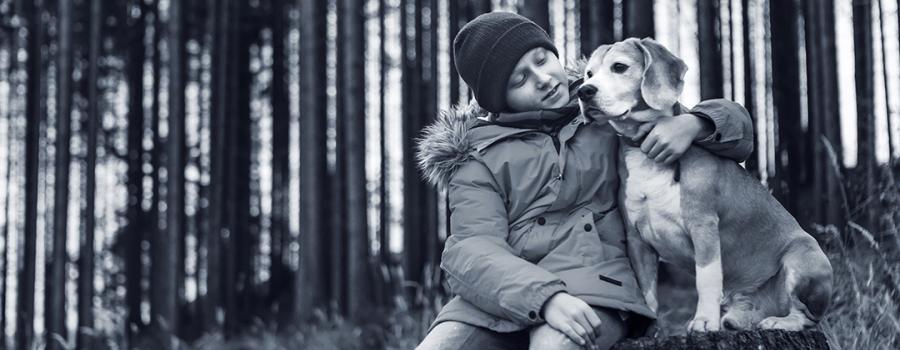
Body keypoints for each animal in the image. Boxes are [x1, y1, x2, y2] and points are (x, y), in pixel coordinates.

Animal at [580, 37, 832, 332]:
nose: (584, 91)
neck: (643, 148)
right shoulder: (636, 240)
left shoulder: (703, 226)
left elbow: (706, 279)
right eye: (589, 73)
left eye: (619, 67)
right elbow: (647, 292)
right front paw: (649, 328)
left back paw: (780, 322)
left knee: (808, 316)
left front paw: (703, 320)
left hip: (804, 255)